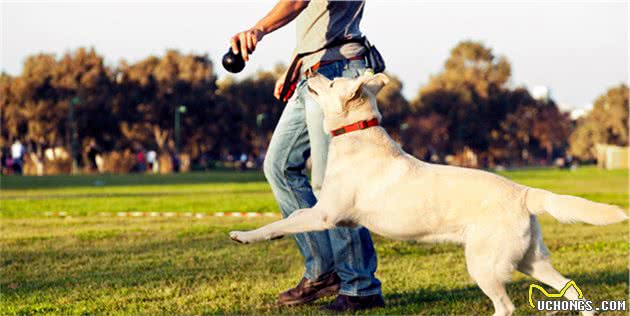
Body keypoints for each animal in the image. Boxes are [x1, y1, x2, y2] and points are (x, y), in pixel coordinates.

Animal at [231, 73, 628, 314]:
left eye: (331, 82)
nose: (310, 72)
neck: (358, 136)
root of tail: (523, 191)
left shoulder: (325, 214)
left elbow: (282, 222)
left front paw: (244, 235)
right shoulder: (326, 214)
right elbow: (289, 221)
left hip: (484, 263)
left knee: (507, 307)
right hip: (531, 261)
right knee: (572, 291)